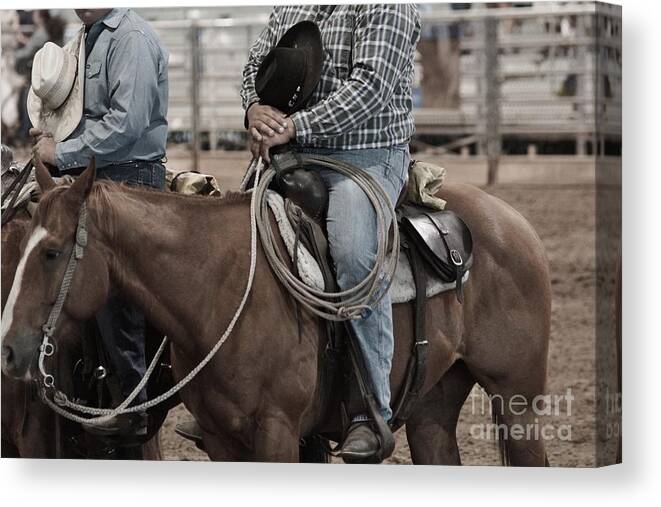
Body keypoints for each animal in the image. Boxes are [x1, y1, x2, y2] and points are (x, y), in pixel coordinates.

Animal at [2, 162, 552, 464]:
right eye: (21, 247)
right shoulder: (221, 439)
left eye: (51, 252)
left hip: (517, 399)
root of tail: (512, 223)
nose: (8, 349)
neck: (218, 287)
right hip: (433, 405)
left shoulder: (279, 431)